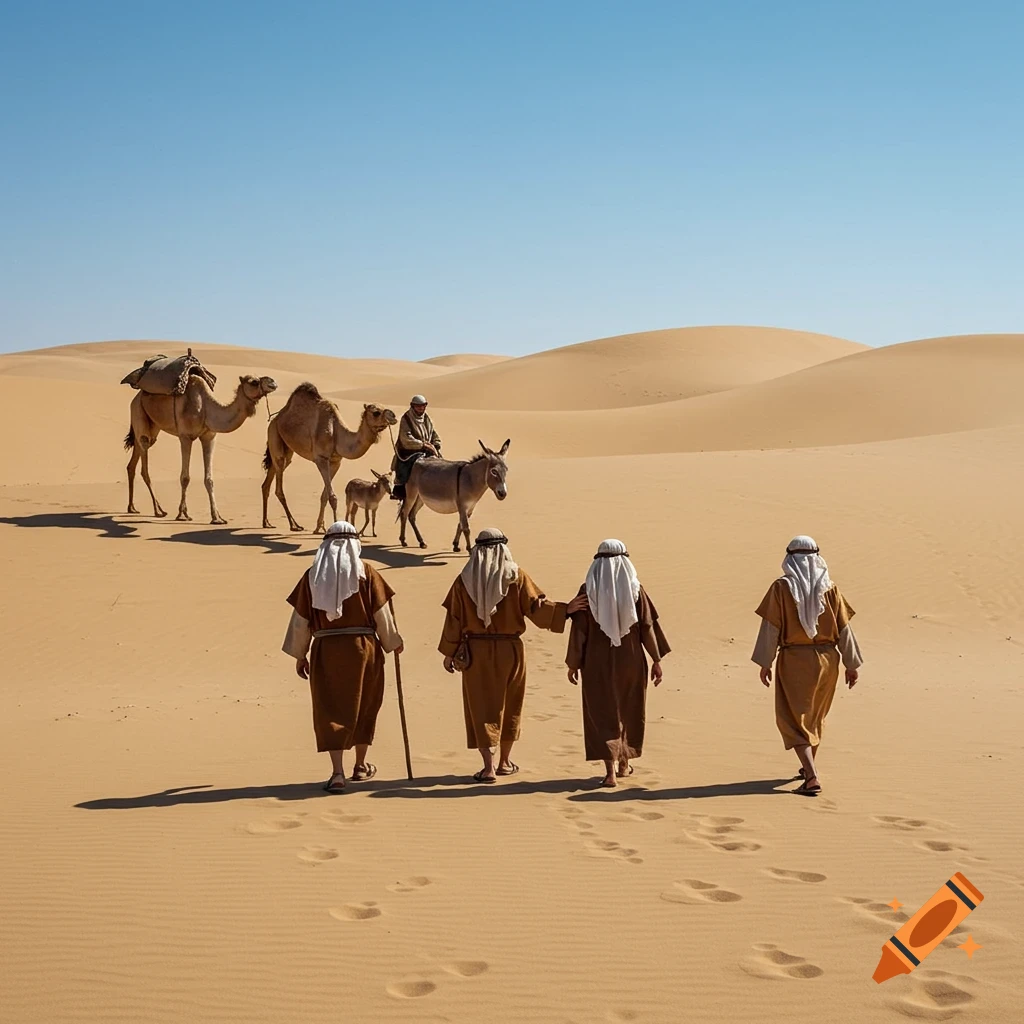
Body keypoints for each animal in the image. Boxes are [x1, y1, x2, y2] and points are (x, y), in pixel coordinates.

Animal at [125, 374, 278, 524]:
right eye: (253, 382)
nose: (273, 382)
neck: (206, 408)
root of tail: (135, 398)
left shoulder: (209, 437)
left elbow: (209, 479)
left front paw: (217, 517)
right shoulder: (185, 437)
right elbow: (185, 477)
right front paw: (182, 514)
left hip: (152, 428)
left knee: (134, 459)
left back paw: (132, 508)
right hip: (138, 412)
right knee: (144, 463)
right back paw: (158, 510)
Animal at [261, 382, 398, 533]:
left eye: (384, 407)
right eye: (376, 412)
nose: (393, 416)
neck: (337, 434)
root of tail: (276, 418)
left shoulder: (335, 462)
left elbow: (324, 496)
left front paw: (319, 527)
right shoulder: (321, 459)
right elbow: (332, 497)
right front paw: (336, 528)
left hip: (286, 449)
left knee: (269, 479)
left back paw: (266, 522)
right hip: (273, 432)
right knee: (279, 485)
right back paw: (294, 525)